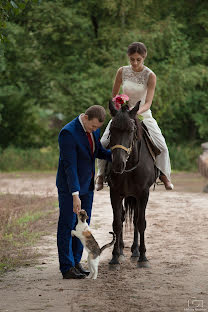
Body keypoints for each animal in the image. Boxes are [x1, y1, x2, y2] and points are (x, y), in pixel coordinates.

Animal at [107, 100, 158, 266]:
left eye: (130, 130)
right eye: (112, 129)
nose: (118, 164)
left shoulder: (143, 194)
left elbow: (141, 222)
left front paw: (143, 256)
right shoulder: (115, 193)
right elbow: (117, 223)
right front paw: (115, 256)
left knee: (135, 219)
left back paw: (135, 251)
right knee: (123, 217)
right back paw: (122, 250)